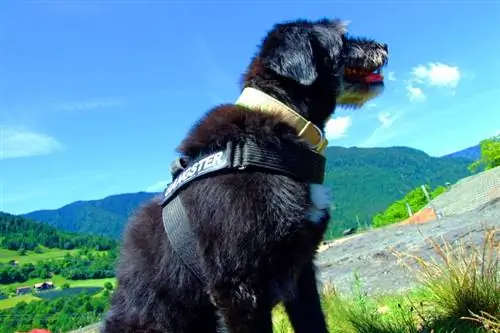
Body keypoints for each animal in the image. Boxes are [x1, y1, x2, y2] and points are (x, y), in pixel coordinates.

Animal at [103, 18, 388, 332]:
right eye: (343, 38)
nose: (385, 45)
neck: (283, 123)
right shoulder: (237, 286)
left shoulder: (300, 269)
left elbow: (312, 320)